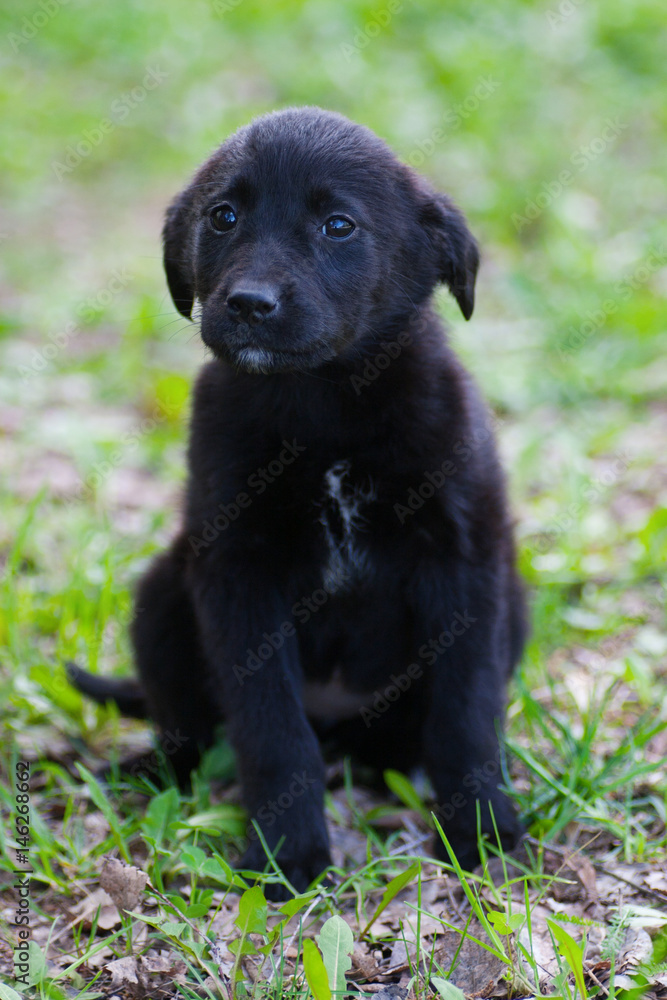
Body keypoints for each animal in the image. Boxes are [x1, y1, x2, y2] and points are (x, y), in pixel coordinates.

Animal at [68, 105, 528, 896]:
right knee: (187, 720)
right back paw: (155, 770)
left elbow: (465, 716)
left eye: (338, 226)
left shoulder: (465, 562)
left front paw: (481, 831)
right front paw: (288, 852)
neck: (325, 409)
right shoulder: (237, 575)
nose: (250, 304)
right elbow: (273, 731)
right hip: (163, 591)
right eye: (222, 216)